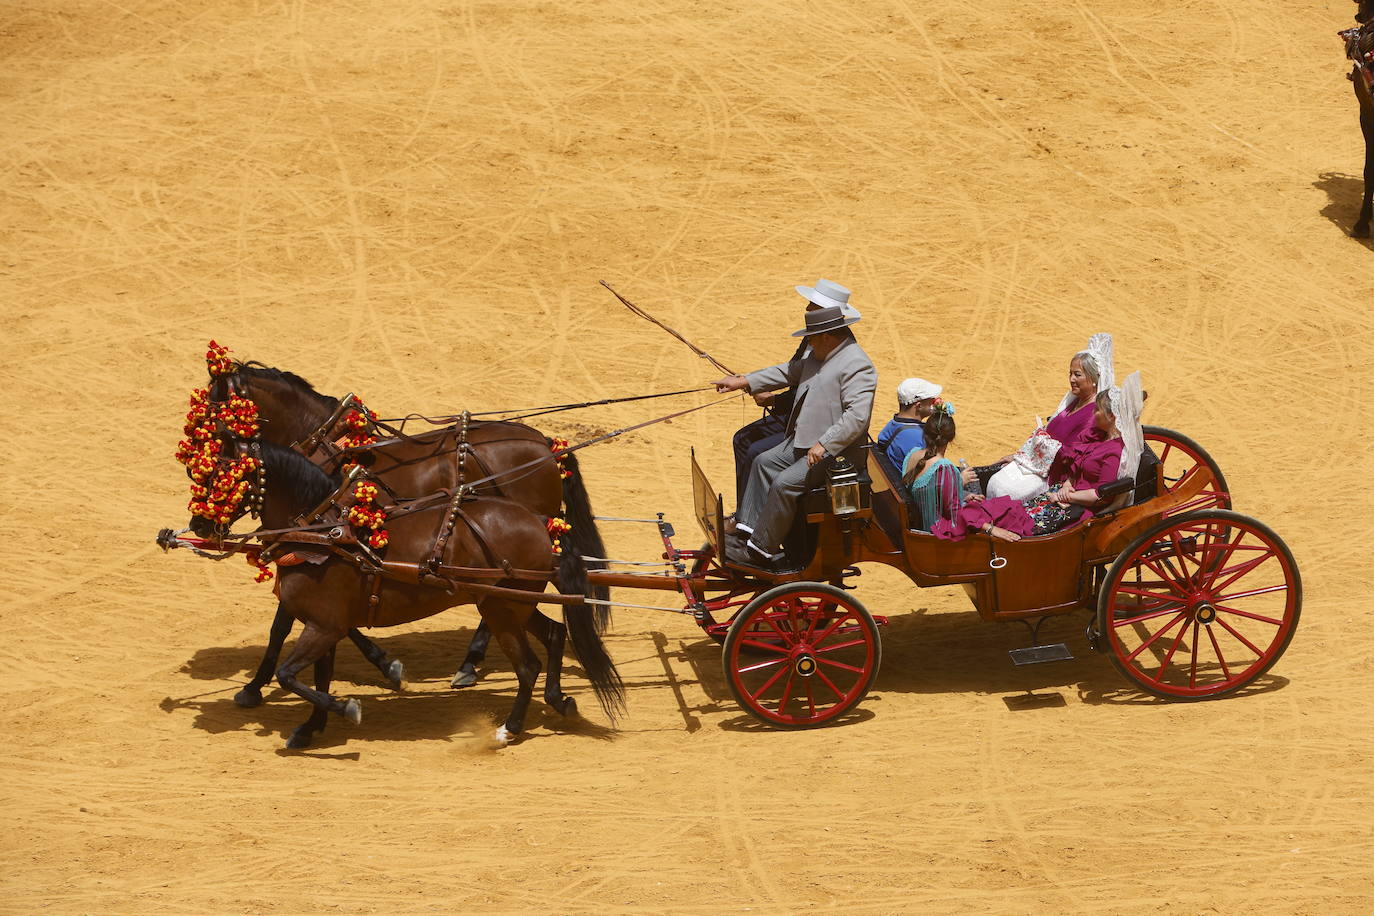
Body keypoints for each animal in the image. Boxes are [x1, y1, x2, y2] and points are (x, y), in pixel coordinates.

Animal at [186, 439, 623, 747]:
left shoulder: (324, 627)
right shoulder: (325, 626)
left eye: (221, 476)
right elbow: (318, 678)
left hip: (502, 608)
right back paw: (558, 699)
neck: (323, 535)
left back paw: (509, 728)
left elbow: (290, 675)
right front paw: (311, 728)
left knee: (528, 665)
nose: (198, 525)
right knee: (555, 634)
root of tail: (542, 525)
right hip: (513, 604)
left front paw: (347, 709)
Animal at [207, 362, 607, 708]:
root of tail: (545, 445)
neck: (333, 453)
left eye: (217, 407)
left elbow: (289, 624)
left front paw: (254, 687)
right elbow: (295, 622)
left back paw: (475, 664)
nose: (209, 453)